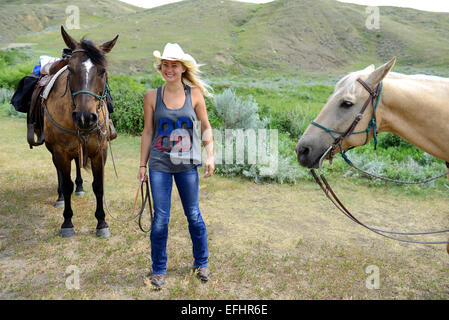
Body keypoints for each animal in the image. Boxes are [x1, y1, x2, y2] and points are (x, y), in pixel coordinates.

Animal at [42, 26, 117, 238]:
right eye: (70, 69)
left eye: (102, 71)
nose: (85, 117)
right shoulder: (60, 152)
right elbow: (66, 185)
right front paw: (67, 223)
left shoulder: (100, 151)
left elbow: (99, 186)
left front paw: (102, 223)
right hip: (55, 151)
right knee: (60, 173)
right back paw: (60, 197)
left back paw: (80, 186)